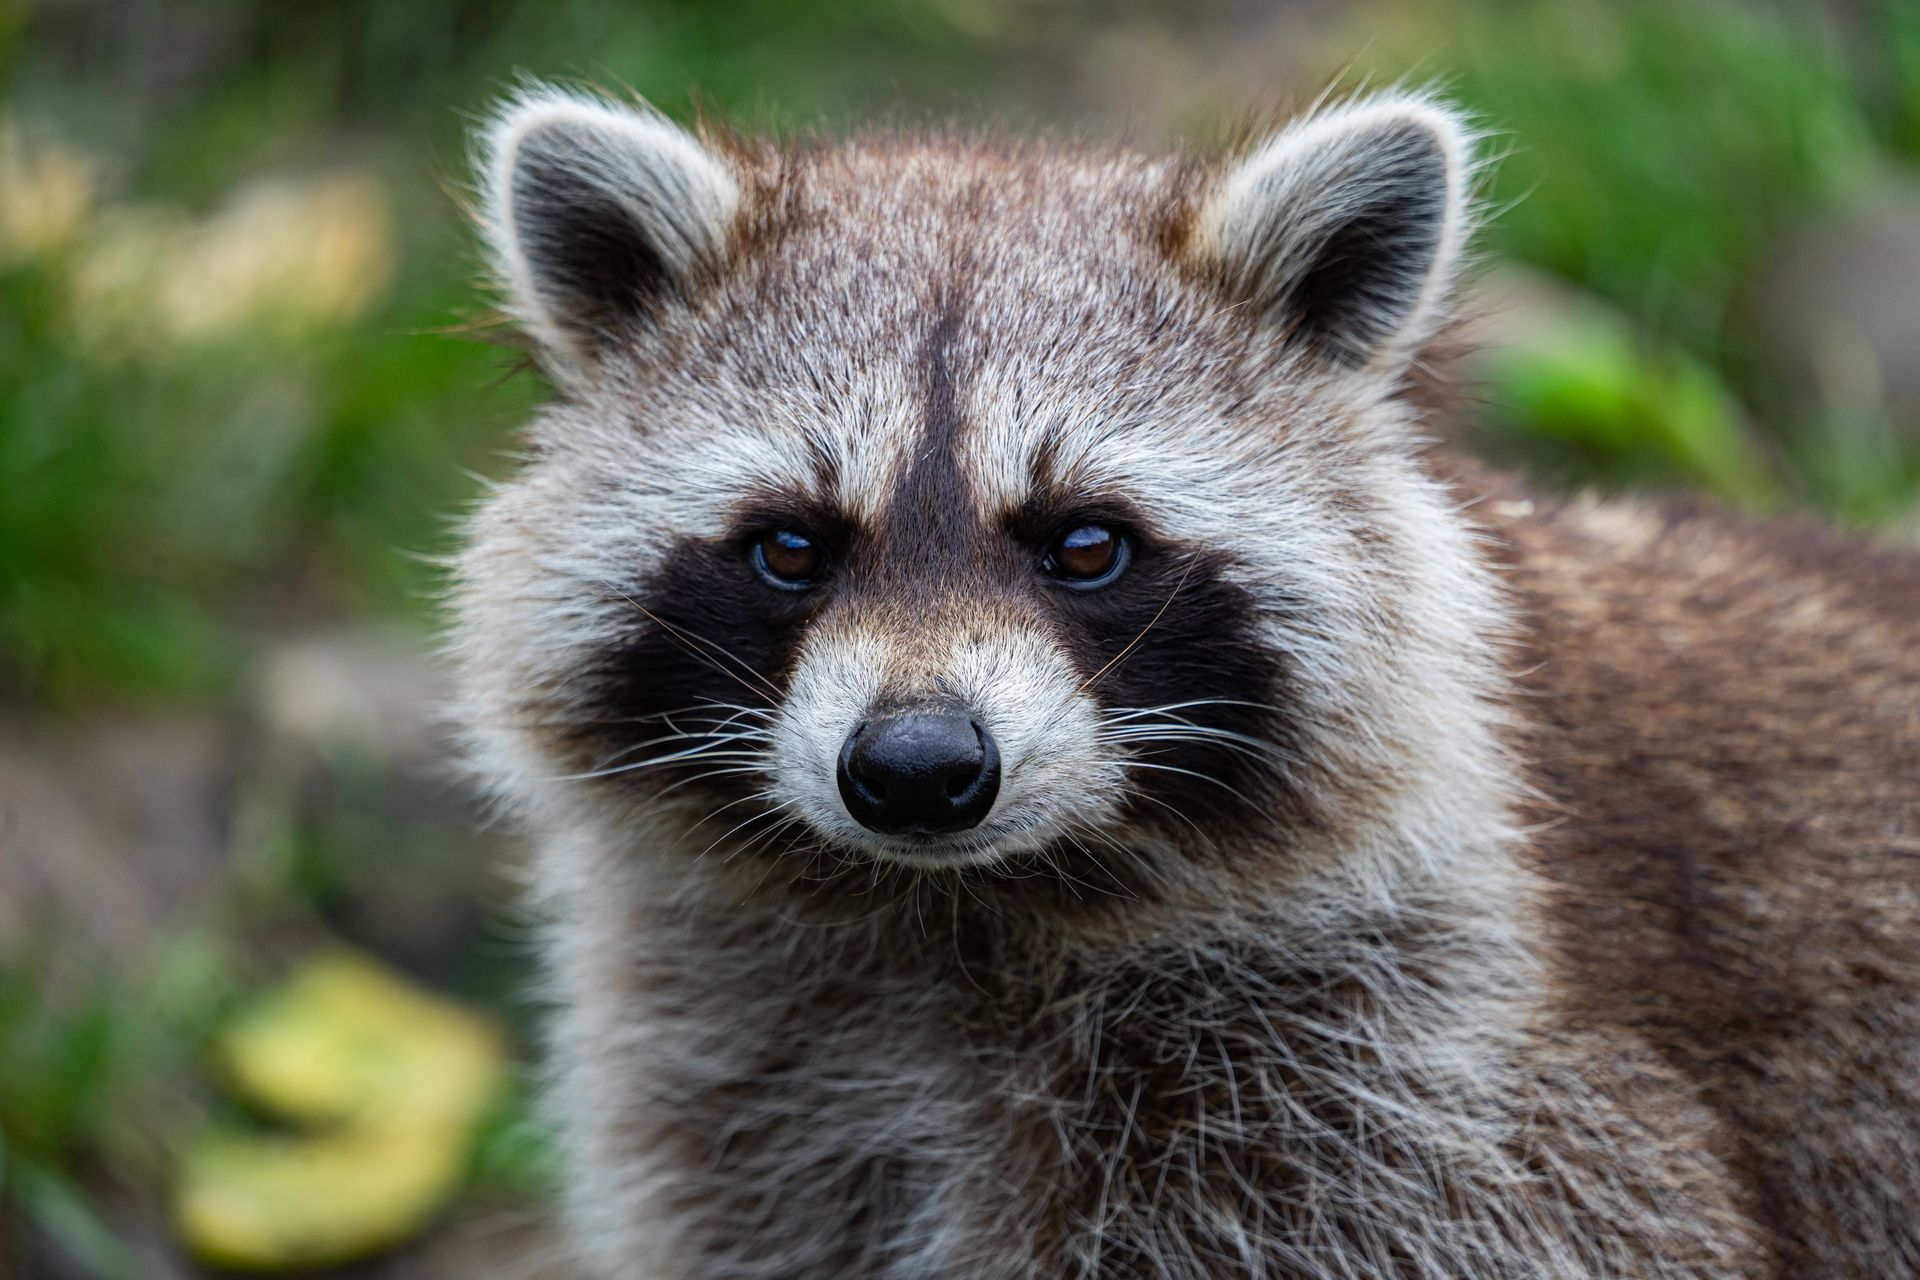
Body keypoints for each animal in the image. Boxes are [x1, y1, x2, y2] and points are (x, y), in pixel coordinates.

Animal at [448, 86, 1920, 1279]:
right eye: (792, 547)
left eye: (1086, 544)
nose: (917, 769)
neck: (952, 915)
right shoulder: (752, 1100)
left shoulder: (1446, 1104)